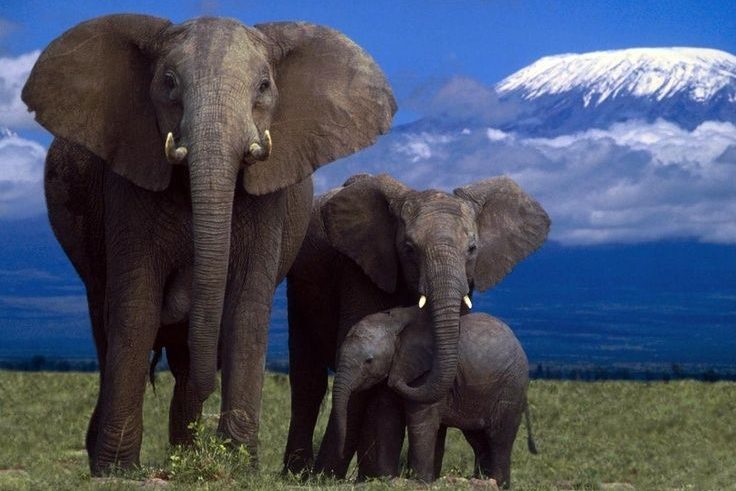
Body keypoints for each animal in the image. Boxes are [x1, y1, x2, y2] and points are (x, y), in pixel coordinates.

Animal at [21, 14, 395, 474]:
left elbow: (246, 308)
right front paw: (117, 470)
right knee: (105, 324)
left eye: (264, 86)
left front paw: (236, 466)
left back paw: (185, 453)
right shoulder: (129, 180)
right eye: (168, 81)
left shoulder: (268, 199)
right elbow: (136, 306)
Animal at [331, 306, 536, 487]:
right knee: (478, 440)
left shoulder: (424, 373)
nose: (340, 454)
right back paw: (481, 481)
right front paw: (387, 480)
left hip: (511, 388)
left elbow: (421, 422)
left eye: (369, 361)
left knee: (499, 439)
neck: (394, 322)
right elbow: (388, 419)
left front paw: (419, 482)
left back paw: (499, 484)